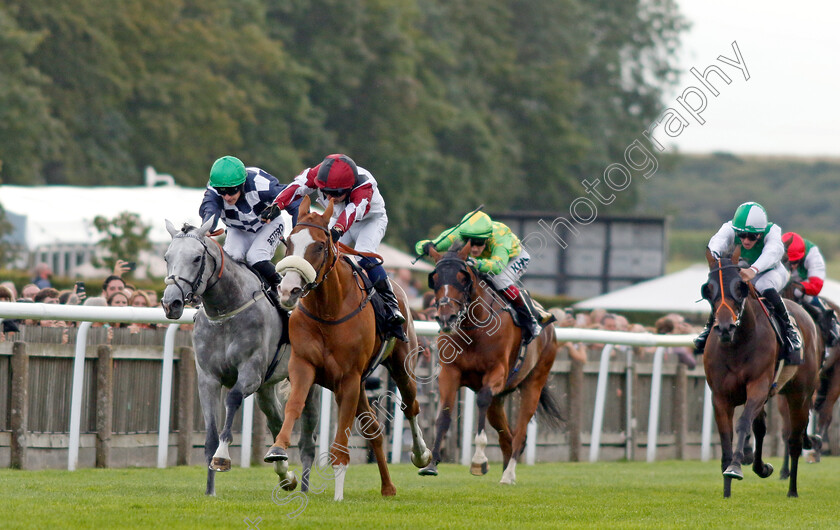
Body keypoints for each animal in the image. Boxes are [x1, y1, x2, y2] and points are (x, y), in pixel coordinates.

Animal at [162, 219, 320, 496]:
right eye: (166, 257)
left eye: (196, 258)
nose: (171, 303)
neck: (226, 309)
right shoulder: (208, 379)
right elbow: (210, 435)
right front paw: (210, 490)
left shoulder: (250, 372)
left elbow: (233, 398)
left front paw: (223, 457)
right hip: (266, 389)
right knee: (277, 423)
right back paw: (284, 472)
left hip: (307, 384)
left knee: (307, 441)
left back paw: (303, 489)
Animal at [262, 195, 434, 500]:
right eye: (289, 242)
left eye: (320, 245)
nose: (288, 291)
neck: (329, 310)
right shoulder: (304, 366)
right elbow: (294, 405)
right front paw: (278, 449)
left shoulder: (349, 377)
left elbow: (341, 438)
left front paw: (338, 495)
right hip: (358, 383)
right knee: (373, 427)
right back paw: (388, 487)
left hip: (401, 366)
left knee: (411, 405)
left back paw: (421, 455)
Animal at [420, 242, 564, 482]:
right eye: (435, 278)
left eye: (463, 277)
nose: (446, 318)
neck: (472, 329)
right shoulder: (450, 372)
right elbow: (445, 413)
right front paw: (431, 464)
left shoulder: (497, 372)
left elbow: (481, 399)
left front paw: (479, 460)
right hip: (499, 400)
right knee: (507, 436)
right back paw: (506, 471)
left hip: (534, 383)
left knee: (520, 432)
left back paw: (509, 475)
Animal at [700, 248, 816, 496]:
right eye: (708, 289)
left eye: (739, 286)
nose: (725, 328)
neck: (736, 345)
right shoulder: (720, 396)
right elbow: (726, 434)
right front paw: (727, 489)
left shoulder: (758, 386)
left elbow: (743, 423)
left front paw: (735, 467)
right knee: (761, 428)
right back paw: (762, 467)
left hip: (799, 395)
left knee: (794, 439)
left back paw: (792, 490)